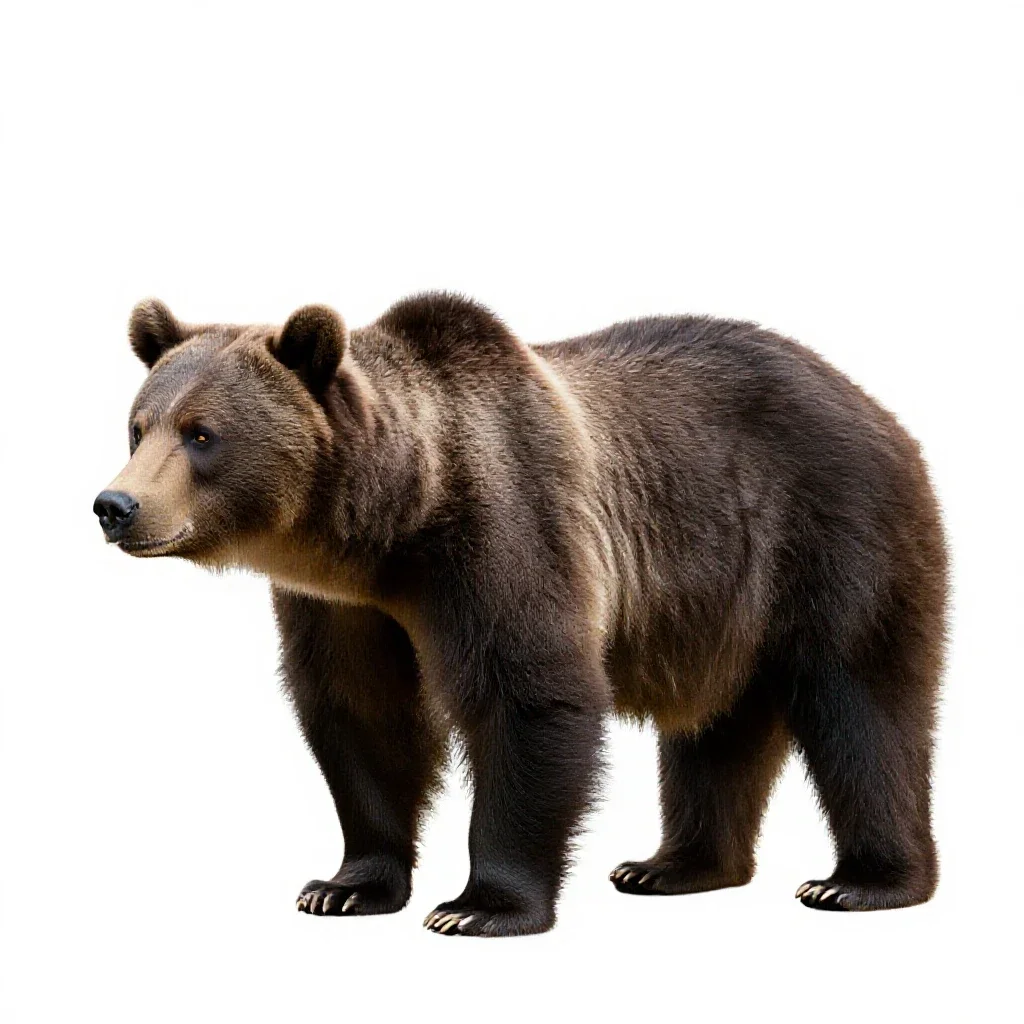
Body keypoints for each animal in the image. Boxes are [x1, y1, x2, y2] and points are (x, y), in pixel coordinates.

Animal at [94, 293, 948, 936]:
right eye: (139, 426)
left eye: (202, 434)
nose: (115, 505)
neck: (391, 528)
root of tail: (876, 405)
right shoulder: (341, 606)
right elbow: (361, 715)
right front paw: (343, 886)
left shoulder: (504, 526)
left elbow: (527, 695)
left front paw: (480, 907)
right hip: (721, 602)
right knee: (716, 728)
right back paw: (673, 866)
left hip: (833, 533)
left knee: (862, 704)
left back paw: (861, 882)